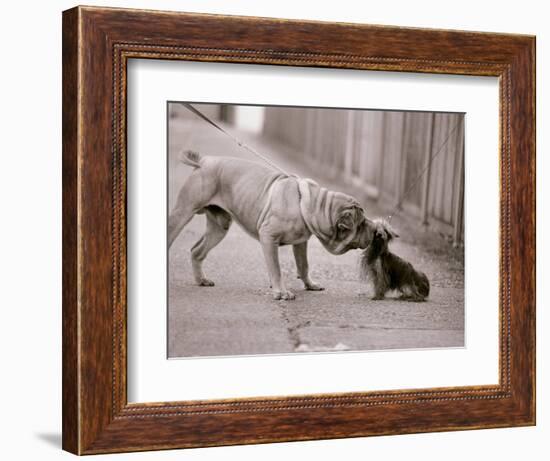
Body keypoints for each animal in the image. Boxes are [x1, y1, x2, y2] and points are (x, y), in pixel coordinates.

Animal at [169, 151, 376, 300]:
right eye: (362, 224)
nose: (374, 228)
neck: (314, 205)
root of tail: (204, 160)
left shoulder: (300, 243)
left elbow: (304, 265)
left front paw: (309, 284)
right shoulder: (269, 237)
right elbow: (276, 268)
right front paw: (281, 292)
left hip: (219, 227)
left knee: (197, 251)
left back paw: (201, 280)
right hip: (183, 212)